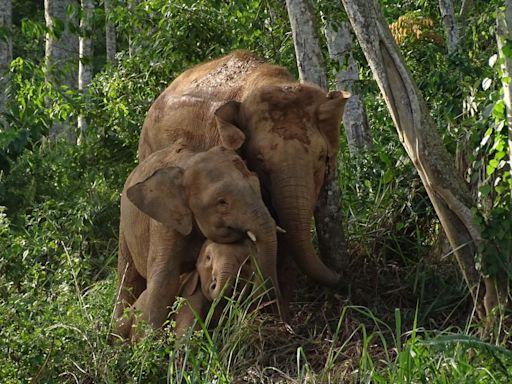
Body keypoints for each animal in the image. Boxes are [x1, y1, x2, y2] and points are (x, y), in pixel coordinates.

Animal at [114, 140, 280, 338]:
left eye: (258, 188)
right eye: (222, 202)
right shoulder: (164, 224)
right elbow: (164, 279)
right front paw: (149, 343)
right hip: (124, 228)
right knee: (127, 279)